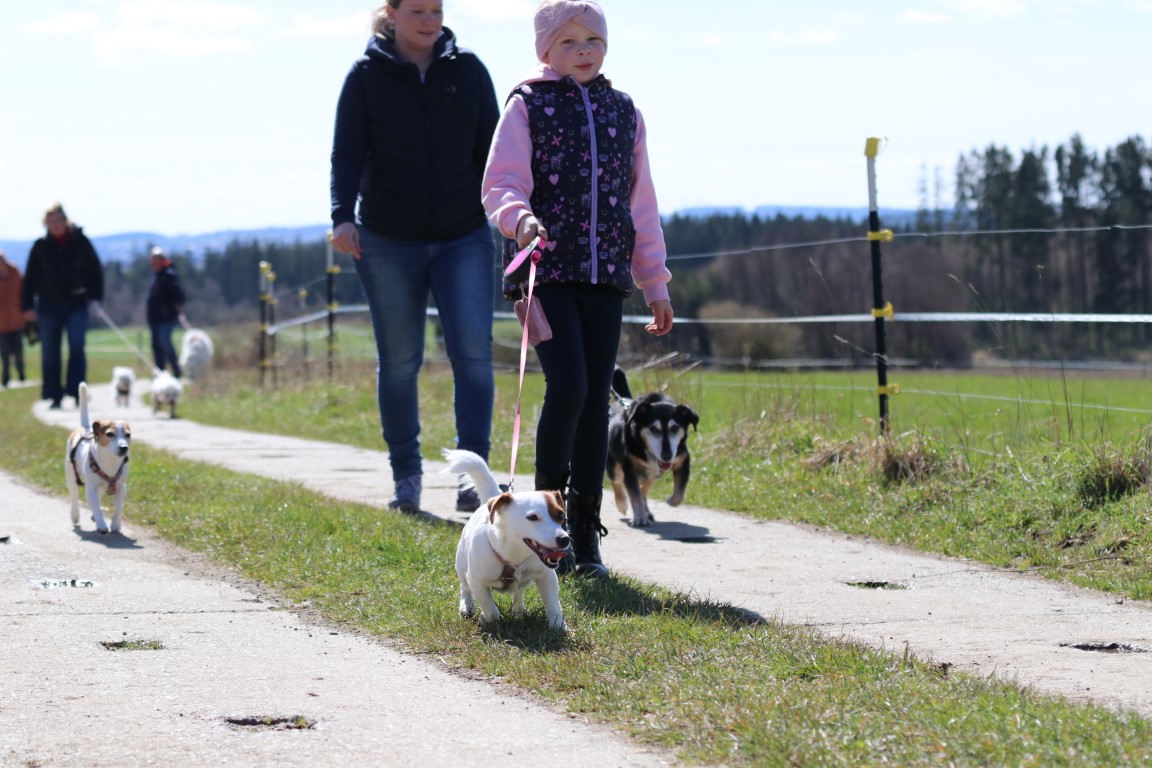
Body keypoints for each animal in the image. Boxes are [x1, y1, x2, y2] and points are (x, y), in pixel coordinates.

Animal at [65, 382, 131, 535]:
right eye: (110, 434)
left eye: (128, 435)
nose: (124, 447)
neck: (110, 461)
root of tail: (85, 427)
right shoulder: (90, 488)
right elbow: (95, 505)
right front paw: (101, 524)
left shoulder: (121, 487)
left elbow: (118, 508)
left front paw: (116, 524)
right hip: (71, 474)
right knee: (74, 495)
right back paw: (75, 515)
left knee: (99, 494)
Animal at [444, 449, 570, 631]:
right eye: (532, 517)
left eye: (561, 515)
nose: (564, 539)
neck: (514, 556)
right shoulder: (477, 582)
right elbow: (490, 609)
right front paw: (487, 620)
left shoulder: (547, 577)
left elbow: (553, 605)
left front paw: (558, 626)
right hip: (461, 566)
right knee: (465, 587)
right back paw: (466, 605)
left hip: (523, 583)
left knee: (518, 593)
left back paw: (519, 612)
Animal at [605, 367, 700, 528]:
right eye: (653, 429)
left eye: (675, 428)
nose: (667, 456)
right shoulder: (629, 468)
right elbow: (635, 495)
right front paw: (639, 518)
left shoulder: (682, 460)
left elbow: (680, 492)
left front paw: (671, 500)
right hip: (615, 465)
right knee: (617, 481)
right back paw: (622, 504)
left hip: (656, 473)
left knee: (645, 487)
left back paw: (647, 510)